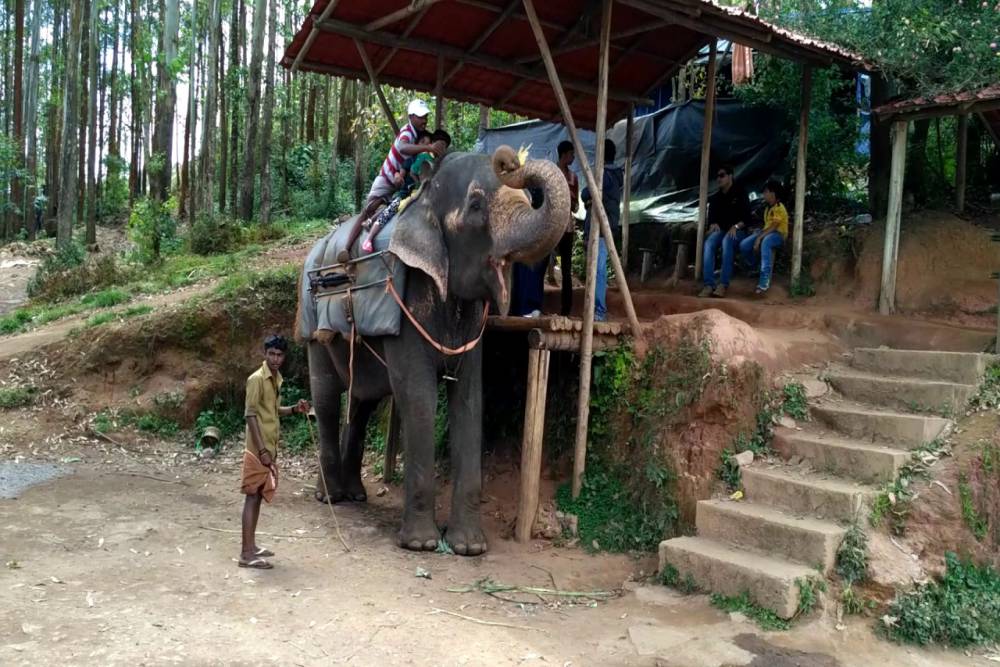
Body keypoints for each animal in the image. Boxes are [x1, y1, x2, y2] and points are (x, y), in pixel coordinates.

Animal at [298, 146, 571, 555]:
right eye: (475, 205)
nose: (509, 158)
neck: (422, 200)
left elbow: (470, 398)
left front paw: (469, 548)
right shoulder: (408, 306)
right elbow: (420, 396)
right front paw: (422, 544)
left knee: (362, 401)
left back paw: (355, 495)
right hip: (313, 321)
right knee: (327, 395)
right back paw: (330, 497)